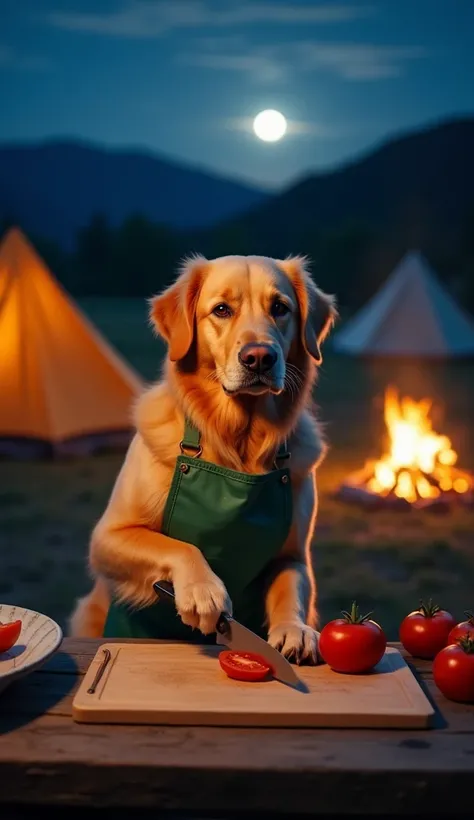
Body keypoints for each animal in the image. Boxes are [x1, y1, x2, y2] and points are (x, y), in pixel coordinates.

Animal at [70, 253, 336, 664]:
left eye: (280, 308)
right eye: (221, 309)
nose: (260, 358)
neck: (237, 443)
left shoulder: (294, 554)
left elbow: (290, 588)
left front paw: (294, 630)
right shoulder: (108, 536)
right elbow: (179, 546)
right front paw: (203, 590)